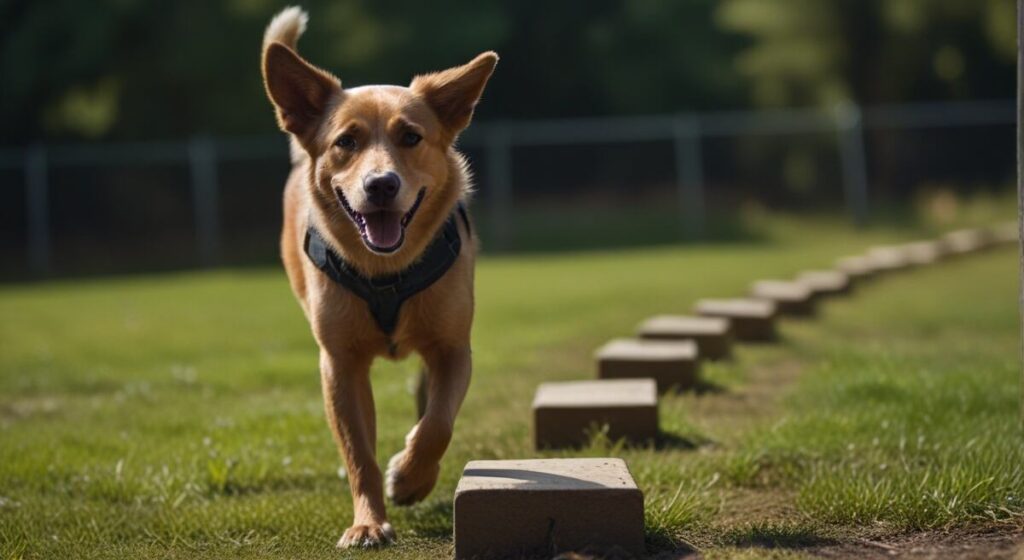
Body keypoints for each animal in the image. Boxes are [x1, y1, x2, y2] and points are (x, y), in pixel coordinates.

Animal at [258, 5, 493, 548]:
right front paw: (368, 522)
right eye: (346, 141)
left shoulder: (454, 347)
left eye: (411, 137)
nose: (381, 184)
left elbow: (438, 423)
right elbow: (358, 452)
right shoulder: (340, 365)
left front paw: (408, 477)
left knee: (428, 401)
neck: (386, 271)